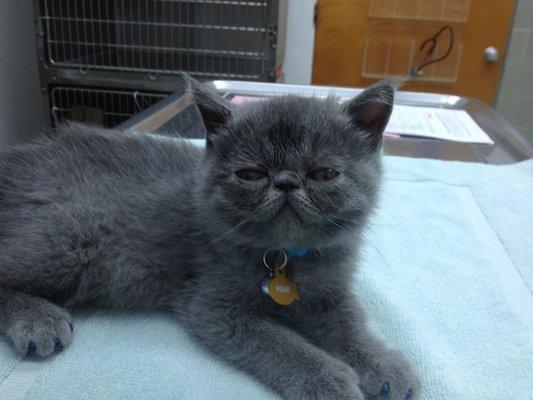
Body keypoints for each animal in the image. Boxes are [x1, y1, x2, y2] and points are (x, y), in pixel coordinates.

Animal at [0, 79, 420, 400]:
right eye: (250, 174)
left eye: (324, 173)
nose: (286, 181)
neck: (287, 257)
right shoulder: (211, 306)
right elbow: (278, 341)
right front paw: (328, 378)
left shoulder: (333, 291)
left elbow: (352, 325)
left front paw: (384, 365)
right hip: (69, 235)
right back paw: (38, 320)